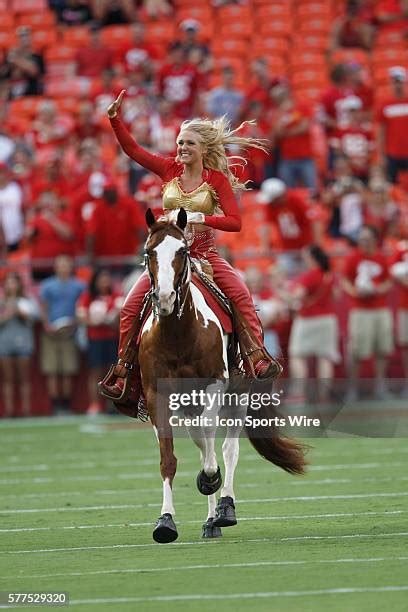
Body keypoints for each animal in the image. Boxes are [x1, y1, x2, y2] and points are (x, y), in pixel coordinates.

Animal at [139, 208, 304, 544]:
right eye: (149, 252)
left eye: (182, 251)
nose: (164, 297)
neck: (178, 334)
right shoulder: (155, 394)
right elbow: (169, 458)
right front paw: (165, 522)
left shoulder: (215, 384)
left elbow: (213, 445)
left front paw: (210, 480)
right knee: (204, 441)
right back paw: (210, 520)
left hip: (239, 393)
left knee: (227, 448)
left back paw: (223, 510)